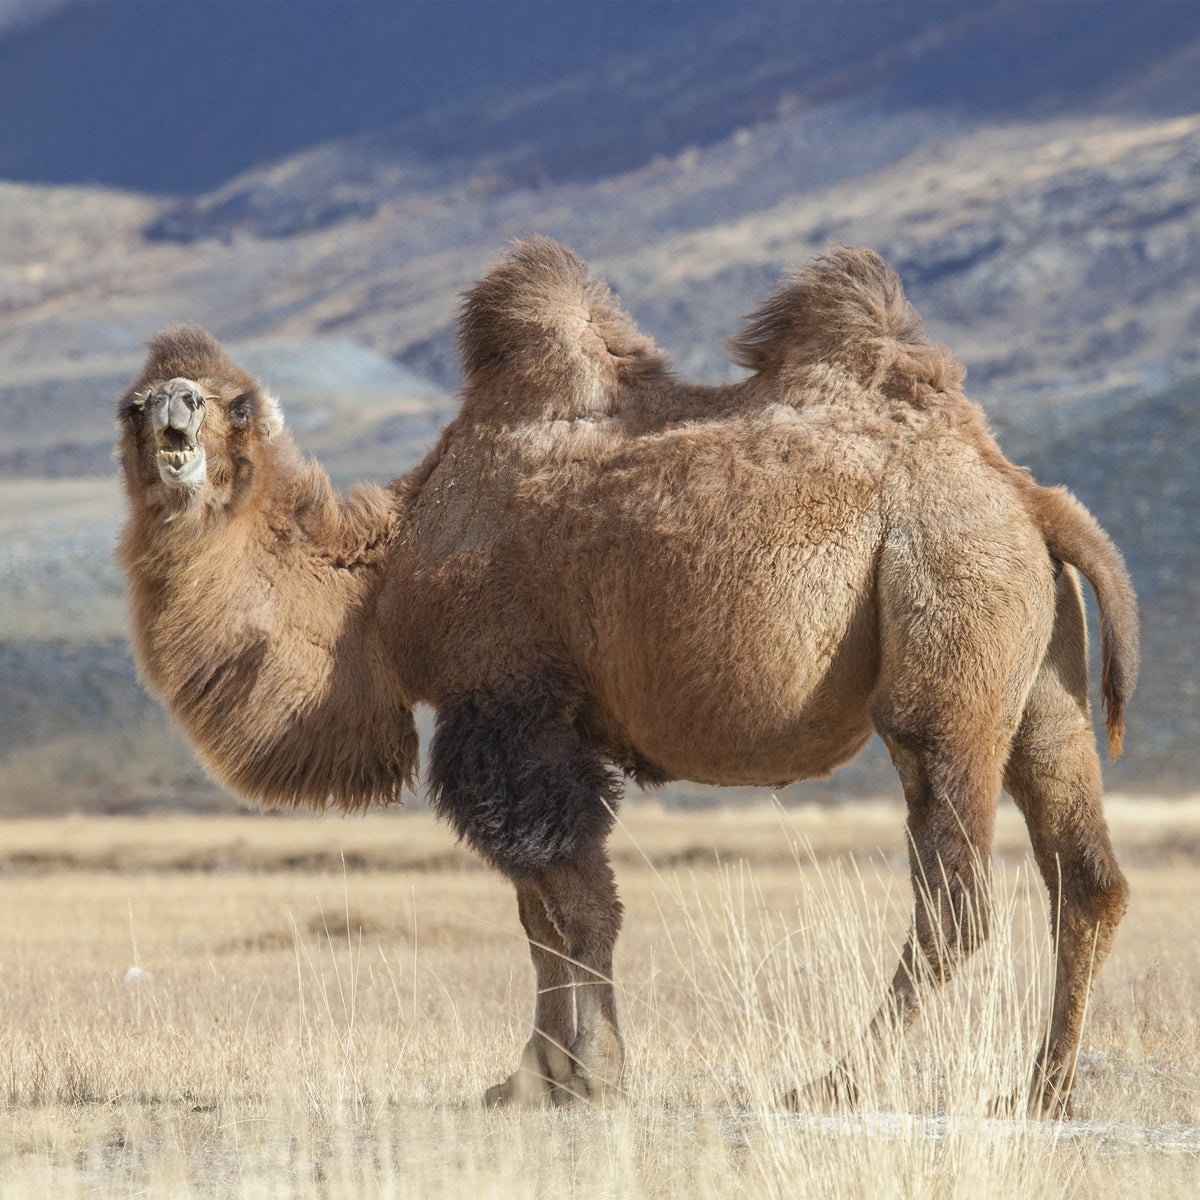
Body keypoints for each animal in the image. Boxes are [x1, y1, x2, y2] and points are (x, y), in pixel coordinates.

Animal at [115, 239, 1137, 1116]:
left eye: (231, 404)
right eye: (131, 404)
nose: (174, 413)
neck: (387, 578)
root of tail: (1026, 494)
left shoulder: (510, 707)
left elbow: (573, 903)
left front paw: (585, 1074)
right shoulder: (531, 724)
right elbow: (541, 910)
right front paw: (531, 1079)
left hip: (946, 636)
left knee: (954, 898)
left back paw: (831, 1084)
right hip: (1036, 670)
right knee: (1084, 874)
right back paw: (1043, 1093)